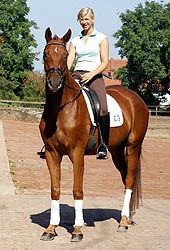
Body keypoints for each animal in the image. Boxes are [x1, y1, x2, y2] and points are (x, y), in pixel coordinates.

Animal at [39, 27, 149, 242]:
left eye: (64, 55)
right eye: (46, 54)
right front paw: (50, 228)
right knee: (125, 176)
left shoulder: (77, 153)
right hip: (116, 150)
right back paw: (127, 217)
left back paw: (123, 223)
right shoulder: (51, 153)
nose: (55, 83)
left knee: (130, 180)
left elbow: (77, 190)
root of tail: (135, 98)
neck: (61, 109)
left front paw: (77, 230)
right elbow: (55, 189)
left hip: (133, 146)